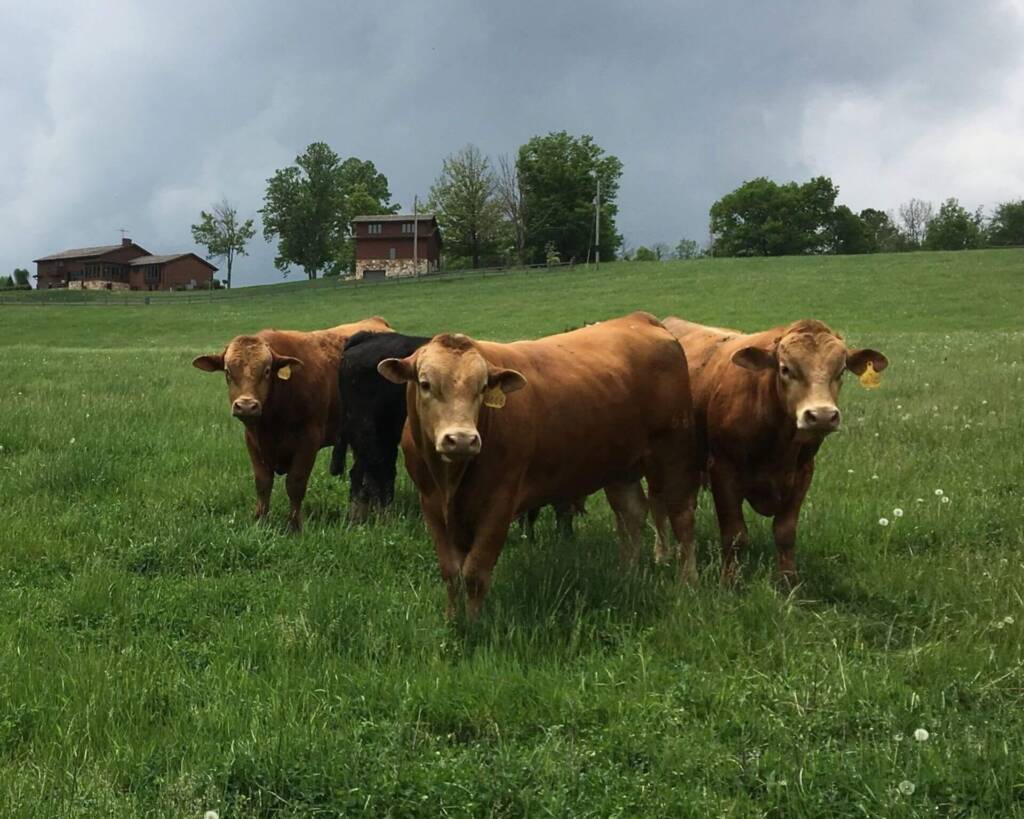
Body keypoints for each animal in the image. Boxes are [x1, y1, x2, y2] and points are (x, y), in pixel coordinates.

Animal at [190, 313, 389, 532]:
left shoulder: (308, 441)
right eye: (227, 372)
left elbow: (295, 484)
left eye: (267, 370)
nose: (246, 406)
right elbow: (263, 484)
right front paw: (260, 521)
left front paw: (294, 526)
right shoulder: (253, 442)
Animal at [378, 313, 704, 622]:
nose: (461, 439)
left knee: (682, 517)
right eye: (425, 384)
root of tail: (640, 319)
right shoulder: (432, 505)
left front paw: (473, 625)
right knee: (632, 514)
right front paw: (452, 618)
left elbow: (474, 572)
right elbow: (450, 572)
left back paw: (687, 582)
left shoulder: (500, 504)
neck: (451, 481)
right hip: (620, 467)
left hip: (673, 453)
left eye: (482, 388)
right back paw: (627, 574)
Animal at [655, 317, 888, 585]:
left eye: (840, 372)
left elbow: (785, 533)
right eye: (785, 369)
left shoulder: (803, 472)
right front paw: (730, 581)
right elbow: (735, 534)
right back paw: (662, 555)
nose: (821, 416)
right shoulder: (723, 470)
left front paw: (788, 582)